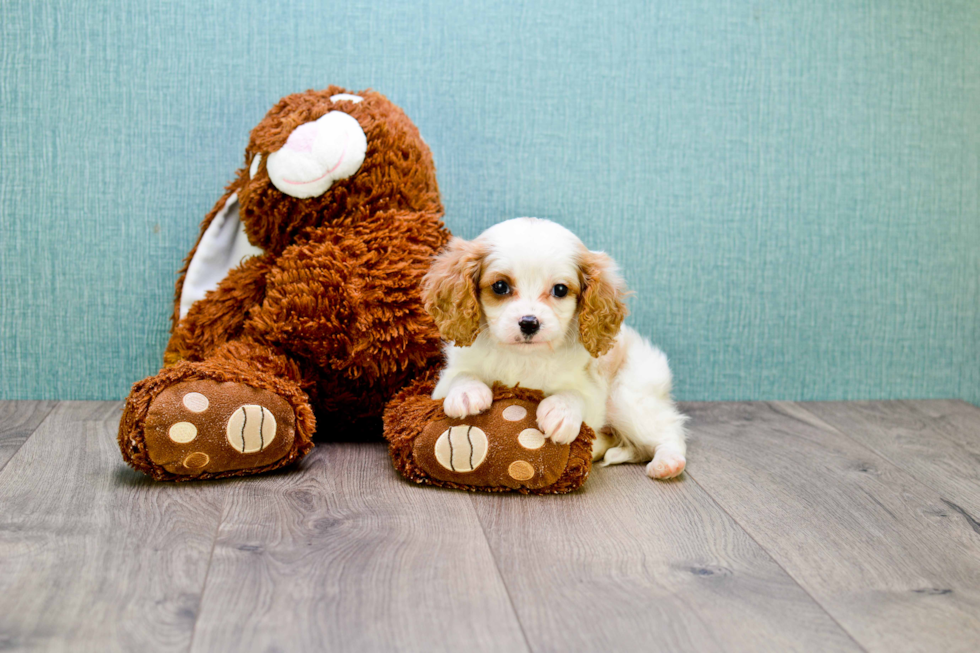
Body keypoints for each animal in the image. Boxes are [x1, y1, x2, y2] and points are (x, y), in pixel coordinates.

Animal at [422, 216, 688, 476]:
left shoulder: (593, 392)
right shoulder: (442, 383)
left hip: (628, 396)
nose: (529, 323)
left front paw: (561, 411)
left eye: (560, 289)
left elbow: (576, 393)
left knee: (669, 430)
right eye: (500, 286)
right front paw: (467, 392)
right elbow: (461, 375)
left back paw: (667, 462)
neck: (523, 357)